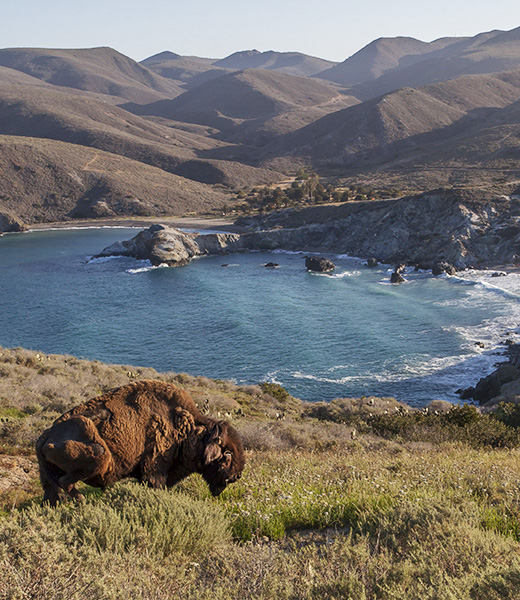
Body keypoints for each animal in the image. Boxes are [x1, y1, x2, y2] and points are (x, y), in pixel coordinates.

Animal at [36, 382, 246, 504]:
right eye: (227, 454)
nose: (236, 476)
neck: (188, 428)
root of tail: (46, 436)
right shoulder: (155, 471)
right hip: (100, 454)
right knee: (66, 481)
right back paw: (82, 502)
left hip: (48, 480)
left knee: (51, 494)